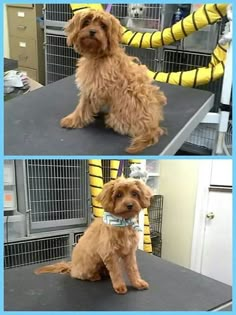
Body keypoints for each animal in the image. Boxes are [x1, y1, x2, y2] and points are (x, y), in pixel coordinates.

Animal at [60, 9, 168, 153]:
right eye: (86, 22)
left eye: (103, 26)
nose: (92, 31)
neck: (100, 55)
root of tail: (152, 127)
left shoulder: (93, 89)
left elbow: (82, 106)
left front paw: (73, 120)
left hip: (115, 117)